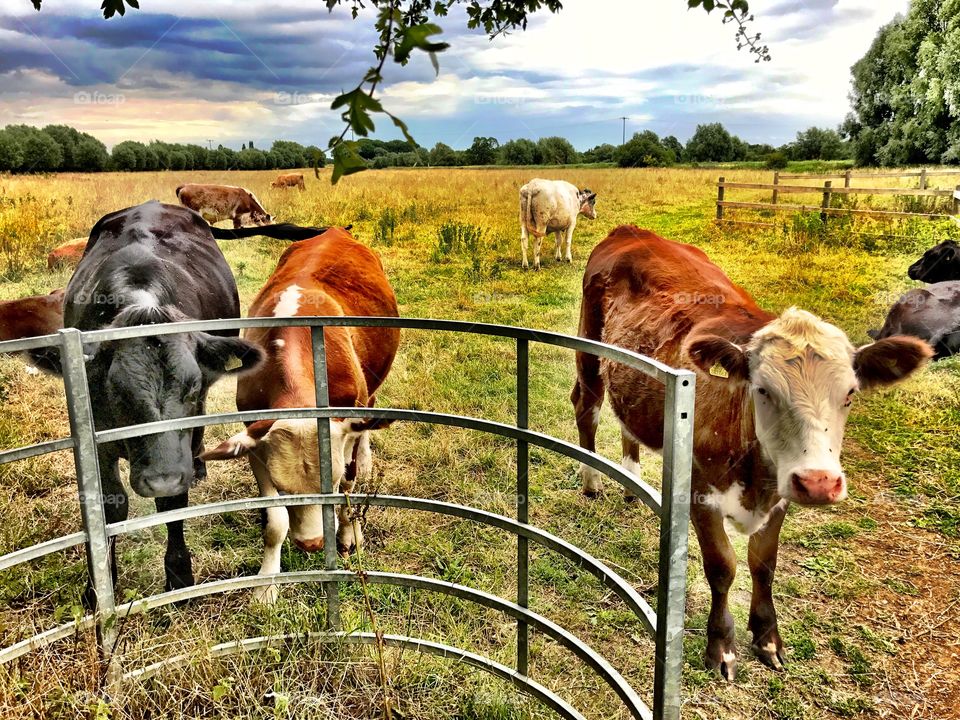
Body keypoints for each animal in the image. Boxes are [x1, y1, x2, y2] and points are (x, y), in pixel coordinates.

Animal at [201, 228, 400, 604]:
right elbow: (276, 522)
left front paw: (348, 535)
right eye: (283, 488)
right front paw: (266, 584)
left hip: (372, 390)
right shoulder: (255, 440)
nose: (313, 544)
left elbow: (349, 485)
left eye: (330, 484)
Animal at [568, 228, 928, 684]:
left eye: (850, 393)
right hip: (589, 351)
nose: (819, 482)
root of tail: (631, 232)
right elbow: (723, 566)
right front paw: (721, 646)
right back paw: (592, 481)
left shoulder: (780, 495)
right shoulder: (699, 491)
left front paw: (767, 637)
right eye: (762, 390)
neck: (757, 476)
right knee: (587, 405)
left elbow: (764, 564)